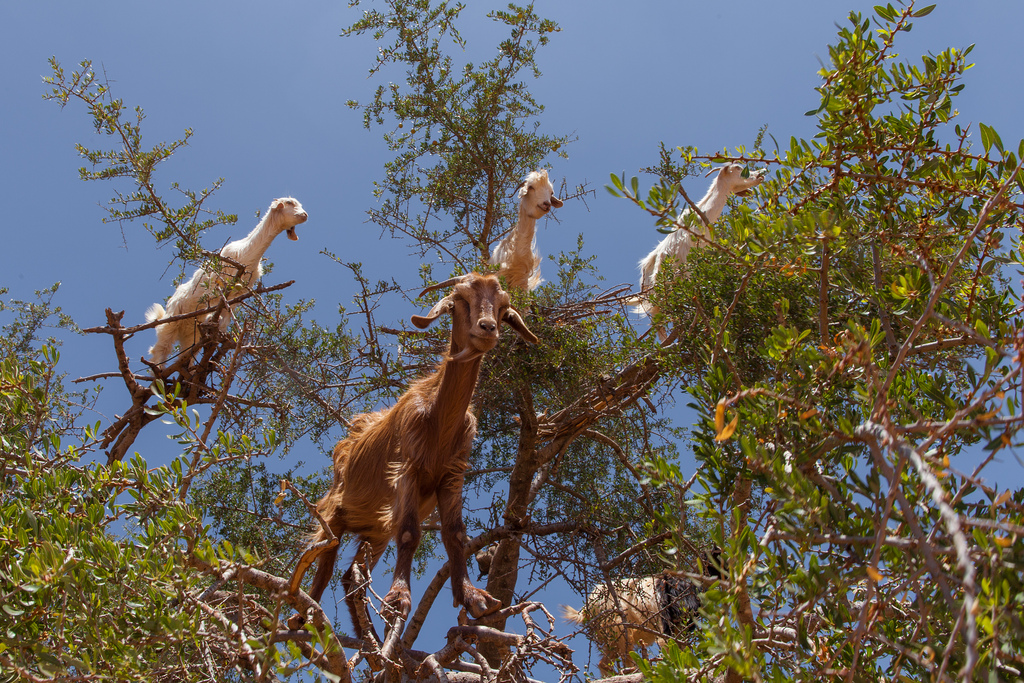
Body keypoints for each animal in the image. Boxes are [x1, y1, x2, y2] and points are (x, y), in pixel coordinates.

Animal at [146, 197, 308, 368]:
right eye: (289, 203)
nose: (305, 215)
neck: (246, 254)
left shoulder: (238, 294)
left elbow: (227, 316)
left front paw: (221, 332)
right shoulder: (216, 284)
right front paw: (213, 321)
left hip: (190, 334)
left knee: (186, 354)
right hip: (173, 318)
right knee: (160, 348)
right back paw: (158, 372)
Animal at [288, 273, 537, 640]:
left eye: (503, 308)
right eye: (460, 300)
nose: (487, 327)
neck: (438, 419)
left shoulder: (452, 475)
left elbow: (455, 533)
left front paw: (473, 597)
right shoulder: (407, 468)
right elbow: (408, 533)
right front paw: (399, 599)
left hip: (375, 529)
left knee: (351, 574)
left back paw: (367, 636)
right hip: (335, 510)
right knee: (326, 556)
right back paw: (305, 614)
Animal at [562, 557, 720, 676]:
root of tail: (587, 607)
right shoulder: (665, 625)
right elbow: (669, 647)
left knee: (605, 663)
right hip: (617, 627)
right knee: (625, 653)